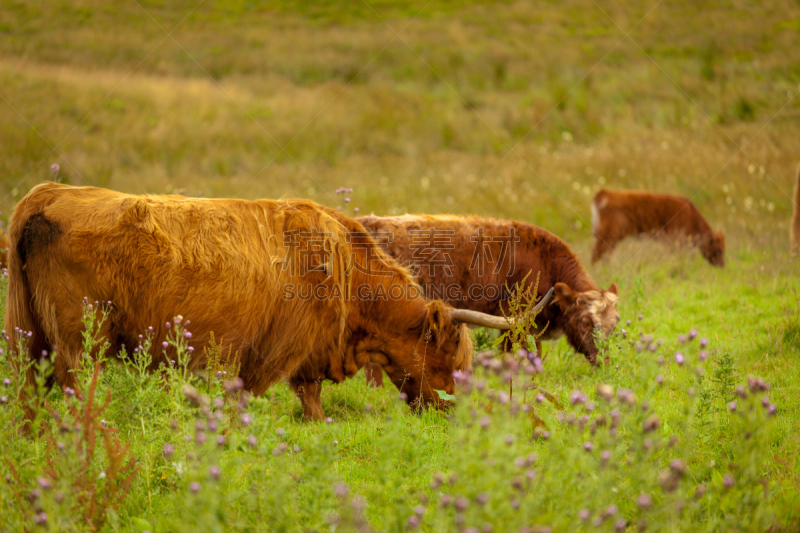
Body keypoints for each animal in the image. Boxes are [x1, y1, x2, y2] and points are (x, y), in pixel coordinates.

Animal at [4, 183, 512, 420]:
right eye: (452, 360)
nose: (454, 411)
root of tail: (48, 193)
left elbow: (308, 393)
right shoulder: (280, 345)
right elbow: (270, 390)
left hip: (31, 335)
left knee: (32, 388)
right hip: (81, 334)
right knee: (74, 384)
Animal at [588, 189, 724, 268]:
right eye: (720, 250)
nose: (722, 265)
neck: (692, 215)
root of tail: (606, 192)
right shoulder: (674, 240)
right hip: (608, 235)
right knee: (597, 253)